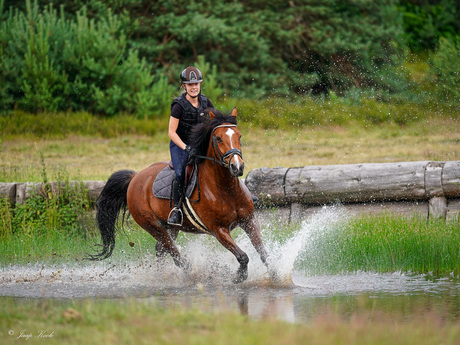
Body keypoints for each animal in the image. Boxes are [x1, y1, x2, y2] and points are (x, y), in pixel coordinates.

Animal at [88, 107, 272, 282]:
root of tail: (135, 177)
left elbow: (264, 253)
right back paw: (195, 272)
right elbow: (243, 256)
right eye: (218, 138)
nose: (237, 167)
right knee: (175, 254)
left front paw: (275, 275)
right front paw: (240, 276)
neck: (226, 189)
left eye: (239, 136)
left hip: (171, 227)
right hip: (153, 226)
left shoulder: (249, 220)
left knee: (162, 250)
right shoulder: (219, 230)